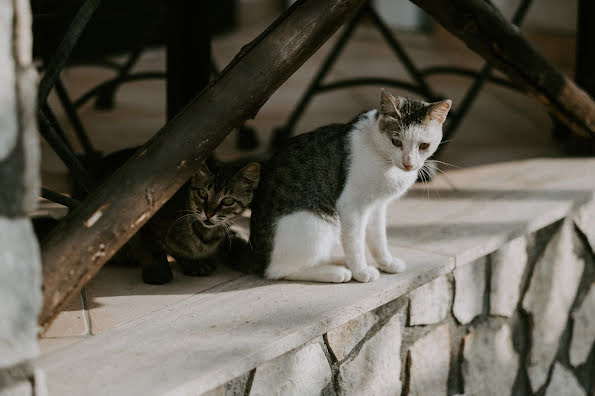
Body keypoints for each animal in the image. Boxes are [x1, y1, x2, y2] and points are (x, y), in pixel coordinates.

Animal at [250, 88, 452, 284]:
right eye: (396, 142)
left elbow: (378, 238)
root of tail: (256, 257)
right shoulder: (352, 206)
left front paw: (386, 262)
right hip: (319, 224)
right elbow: (355, 243)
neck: (385, 161)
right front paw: (361, 271)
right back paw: (335, 272)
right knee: (279, 271)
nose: (408, 163)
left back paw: (337, 260)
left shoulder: (377, 206)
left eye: (424, 145)